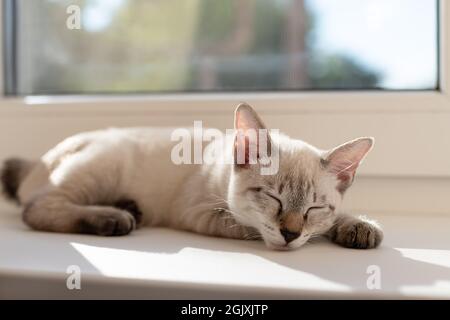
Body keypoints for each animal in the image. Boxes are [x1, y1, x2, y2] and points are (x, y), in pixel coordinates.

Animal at [0, 102, 384, 250]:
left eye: (313, 208)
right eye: (272, 198)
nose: (290, 234)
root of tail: (37, 161)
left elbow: (336, 220)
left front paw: (358, 227)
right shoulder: (201, 213)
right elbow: (249, 228)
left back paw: (130, 208)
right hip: (101, 167)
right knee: (36, 209)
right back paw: (115, 218)